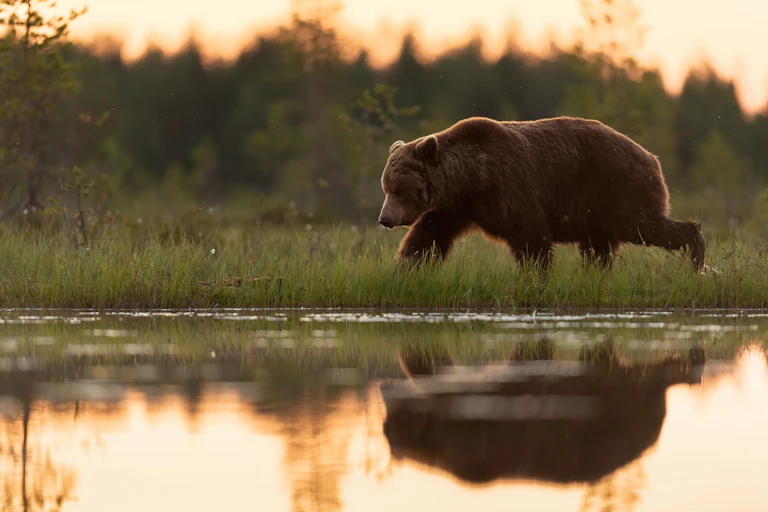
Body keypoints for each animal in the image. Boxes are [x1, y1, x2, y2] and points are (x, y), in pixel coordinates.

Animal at [377, 116, 706, 271]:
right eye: (386, 187)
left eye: (399, 189)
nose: (384, 219)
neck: (470, 178)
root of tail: (652, 157)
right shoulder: (455, 208)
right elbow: (428, 238)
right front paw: (406, 269)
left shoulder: (508, 187)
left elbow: (531, 237)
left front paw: (535, 275)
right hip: (597, 211)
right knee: (598, 249)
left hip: (617, 188)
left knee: (643, 226)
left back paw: (695, 253)